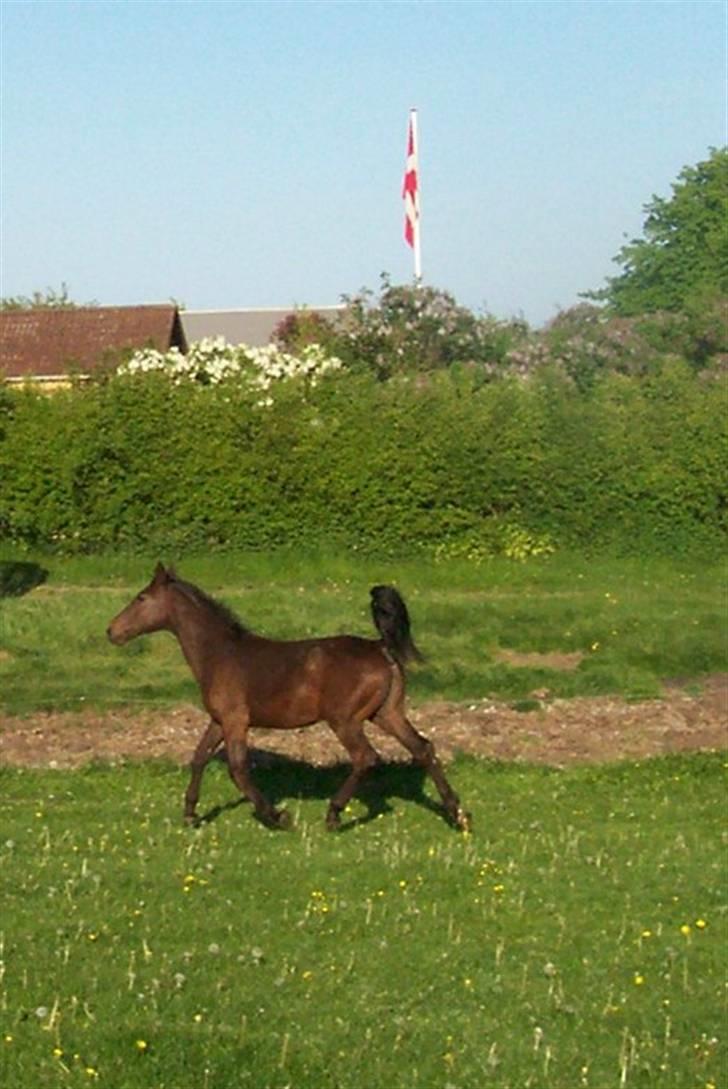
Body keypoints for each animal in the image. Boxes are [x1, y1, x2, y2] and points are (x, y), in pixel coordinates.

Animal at [107, 566, 472, 827]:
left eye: (141, 598)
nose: (112, 631)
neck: (221, 653)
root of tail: (382, 647)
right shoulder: (219, 720)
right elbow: (198, 758)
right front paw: (190, 814)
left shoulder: (236, 721)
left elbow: (238, 768)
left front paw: (276, 816)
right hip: (387, 713)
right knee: (423, 748)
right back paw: (457, 814)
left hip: (345, 720)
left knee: (366, 757)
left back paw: (334, 814)